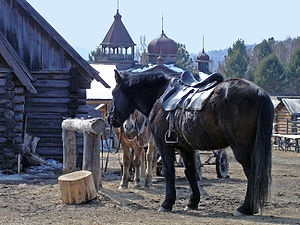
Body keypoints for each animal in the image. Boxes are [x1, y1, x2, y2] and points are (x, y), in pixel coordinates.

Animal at [108, 70, 274, 216]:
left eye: (114, 93)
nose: (111, 118)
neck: (160, 96)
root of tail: (259, 93)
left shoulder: (164, 145)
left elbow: (169, 171)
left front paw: (167, 203)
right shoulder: (185, 148)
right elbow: (190, 171)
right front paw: (193, 202)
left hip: (242, 148)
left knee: (252, 172)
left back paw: (246, 208)